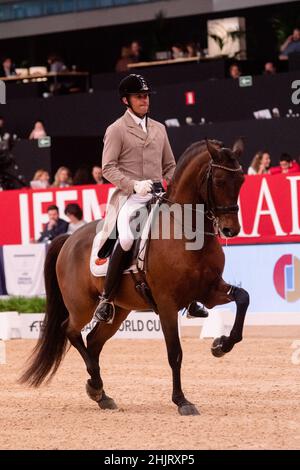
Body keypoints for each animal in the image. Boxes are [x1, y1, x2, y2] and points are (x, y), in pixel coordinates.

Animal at [20, 139, 248, 414]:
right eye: (219, 181)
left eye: (241, 181)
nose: (230, 229)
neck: (188, 232)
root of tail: (69, 238)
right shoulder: (167, 303)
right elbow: (175, 353)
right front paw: (182, 400)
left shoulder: (210, 290)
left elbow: (243, 298)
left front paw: (221, 345)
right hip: (81, 305)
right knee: (71, 331)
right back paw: (96, 385)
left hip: (119, 310)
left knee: (93, 340)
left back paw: (99, 392)